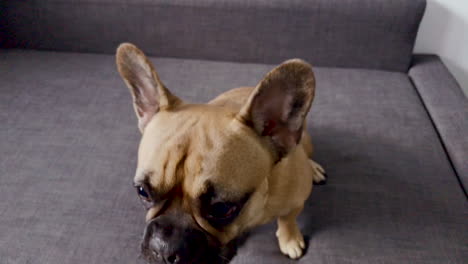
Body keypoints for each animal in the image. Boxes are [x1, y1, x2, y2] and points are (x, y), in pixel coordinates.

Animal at [115, 42, 328, 262]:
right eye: (143, 192)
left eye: (221, 208)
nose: (164, 249)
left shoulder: (296, 201)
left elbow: (288, 219)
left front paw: (290, 239)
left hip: (306, 141)